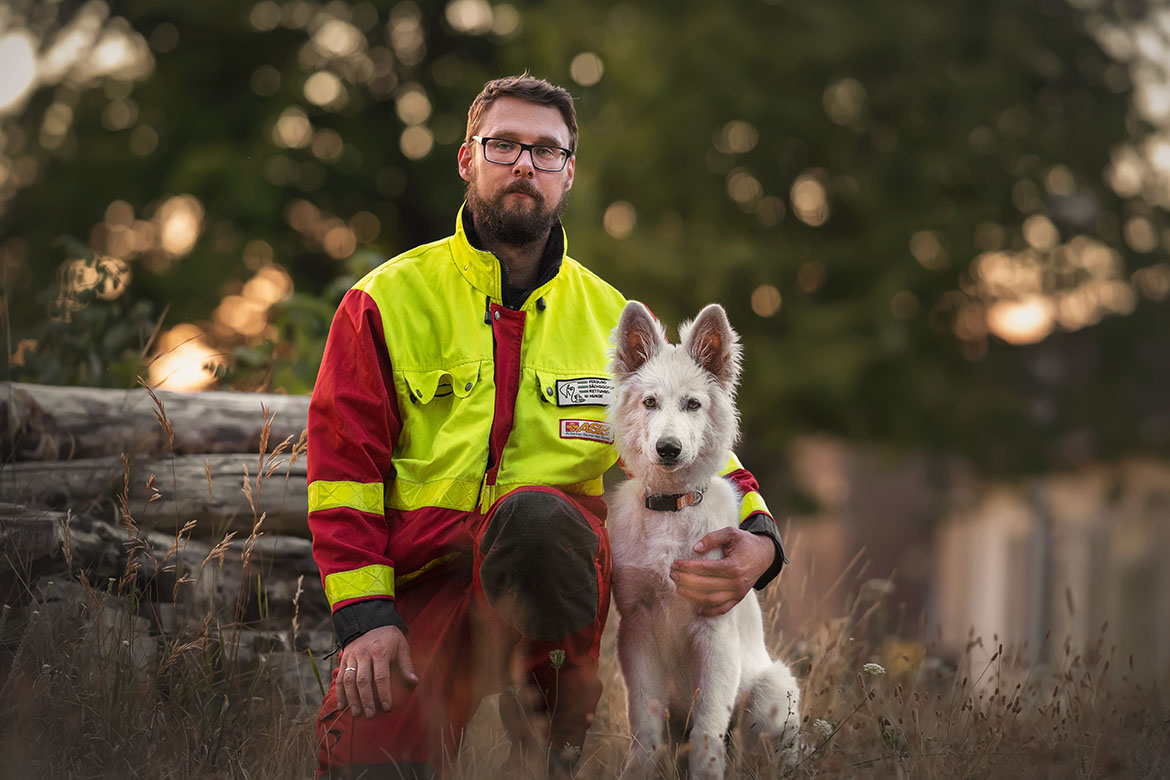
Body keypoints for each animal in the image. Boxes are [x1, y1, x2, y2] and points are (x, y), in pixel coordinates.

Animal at [608, 301, 800, 776]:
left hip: (770, 693)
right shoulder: (635, 631)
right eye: (650, 402)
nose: (668, 449)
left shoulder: (716, 634)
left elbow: (707, 733)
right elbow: (644, 731)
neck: (672, 508)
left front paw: (707, 771)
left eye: (693, 404)